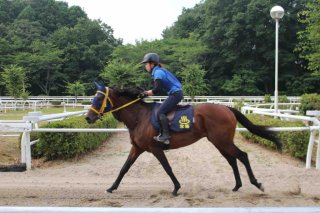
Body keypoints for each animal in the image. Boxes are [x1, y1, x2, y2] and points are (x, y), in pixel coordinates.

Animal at [85, 83, 282, 196]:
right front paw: (111, 187)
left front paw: (176, 188)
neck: (140, 117)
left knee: (242, 156)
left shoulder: (155, 148)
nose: (88, 117)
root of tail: (227, 108)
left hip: (223, 141)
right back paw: (237, 185)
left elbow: (167, 168)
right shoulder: (137, 148)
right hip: (218, 142)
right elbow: (124, 168)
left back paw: (256, 183)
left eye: (99, 98)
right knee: (232, 159)